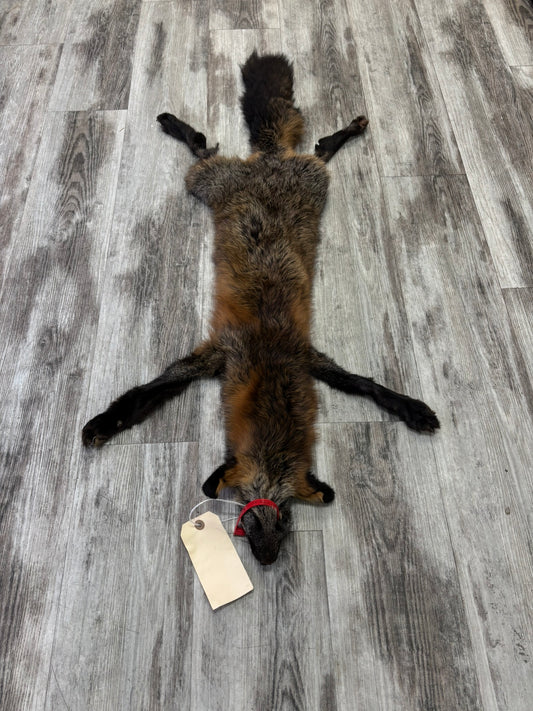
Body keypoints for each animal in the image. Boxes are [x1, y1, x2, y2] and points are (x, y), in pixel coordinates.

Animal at [82, 52, 439, 565]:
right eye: (249, 505)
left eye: (284, 510)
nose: (268, 558)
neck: (268, 365)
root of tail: (270, 158)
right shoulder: (217, 354)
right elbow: (144, 393)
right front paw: (104, 423)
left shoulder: (307, 356)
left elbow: (367, 386)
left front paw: (410, 408)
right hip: (207, 182)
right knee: (206, 149)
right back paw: (178, 125)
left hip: (309, 182)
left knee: (316, 149)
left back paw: (345, 131)